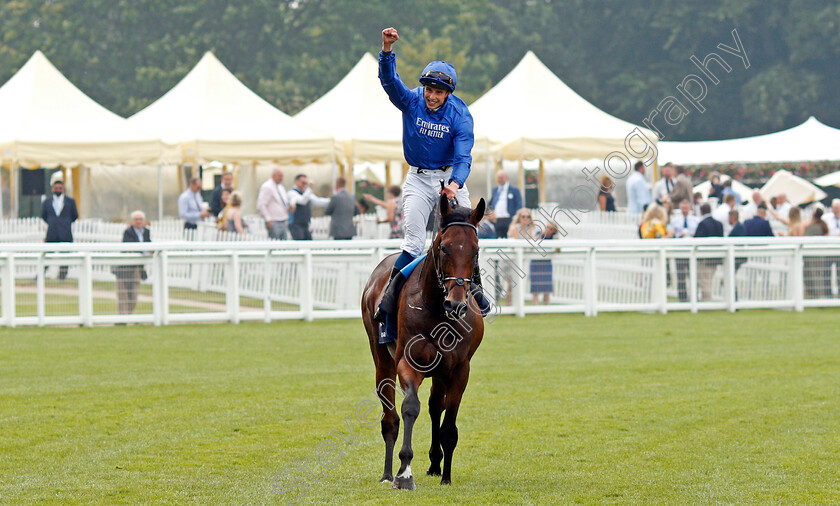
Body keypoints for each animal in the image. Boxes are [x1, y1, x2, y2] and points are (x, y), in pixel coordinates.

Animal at [360, 192, 486, 488]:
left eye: (475, 250)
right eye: (444, 248)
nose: (456, 304)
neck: (439, 311)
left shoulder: (459, 369)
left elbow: (448, 422)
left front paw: (446, 476)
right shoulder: (408, 363)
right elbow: (409, 408)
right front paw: (404, 472)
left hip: (440, 372)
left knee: (434, 406)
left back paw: (435, 463)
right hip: (382, 360)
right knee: (390, 417)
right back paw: (387, 473)